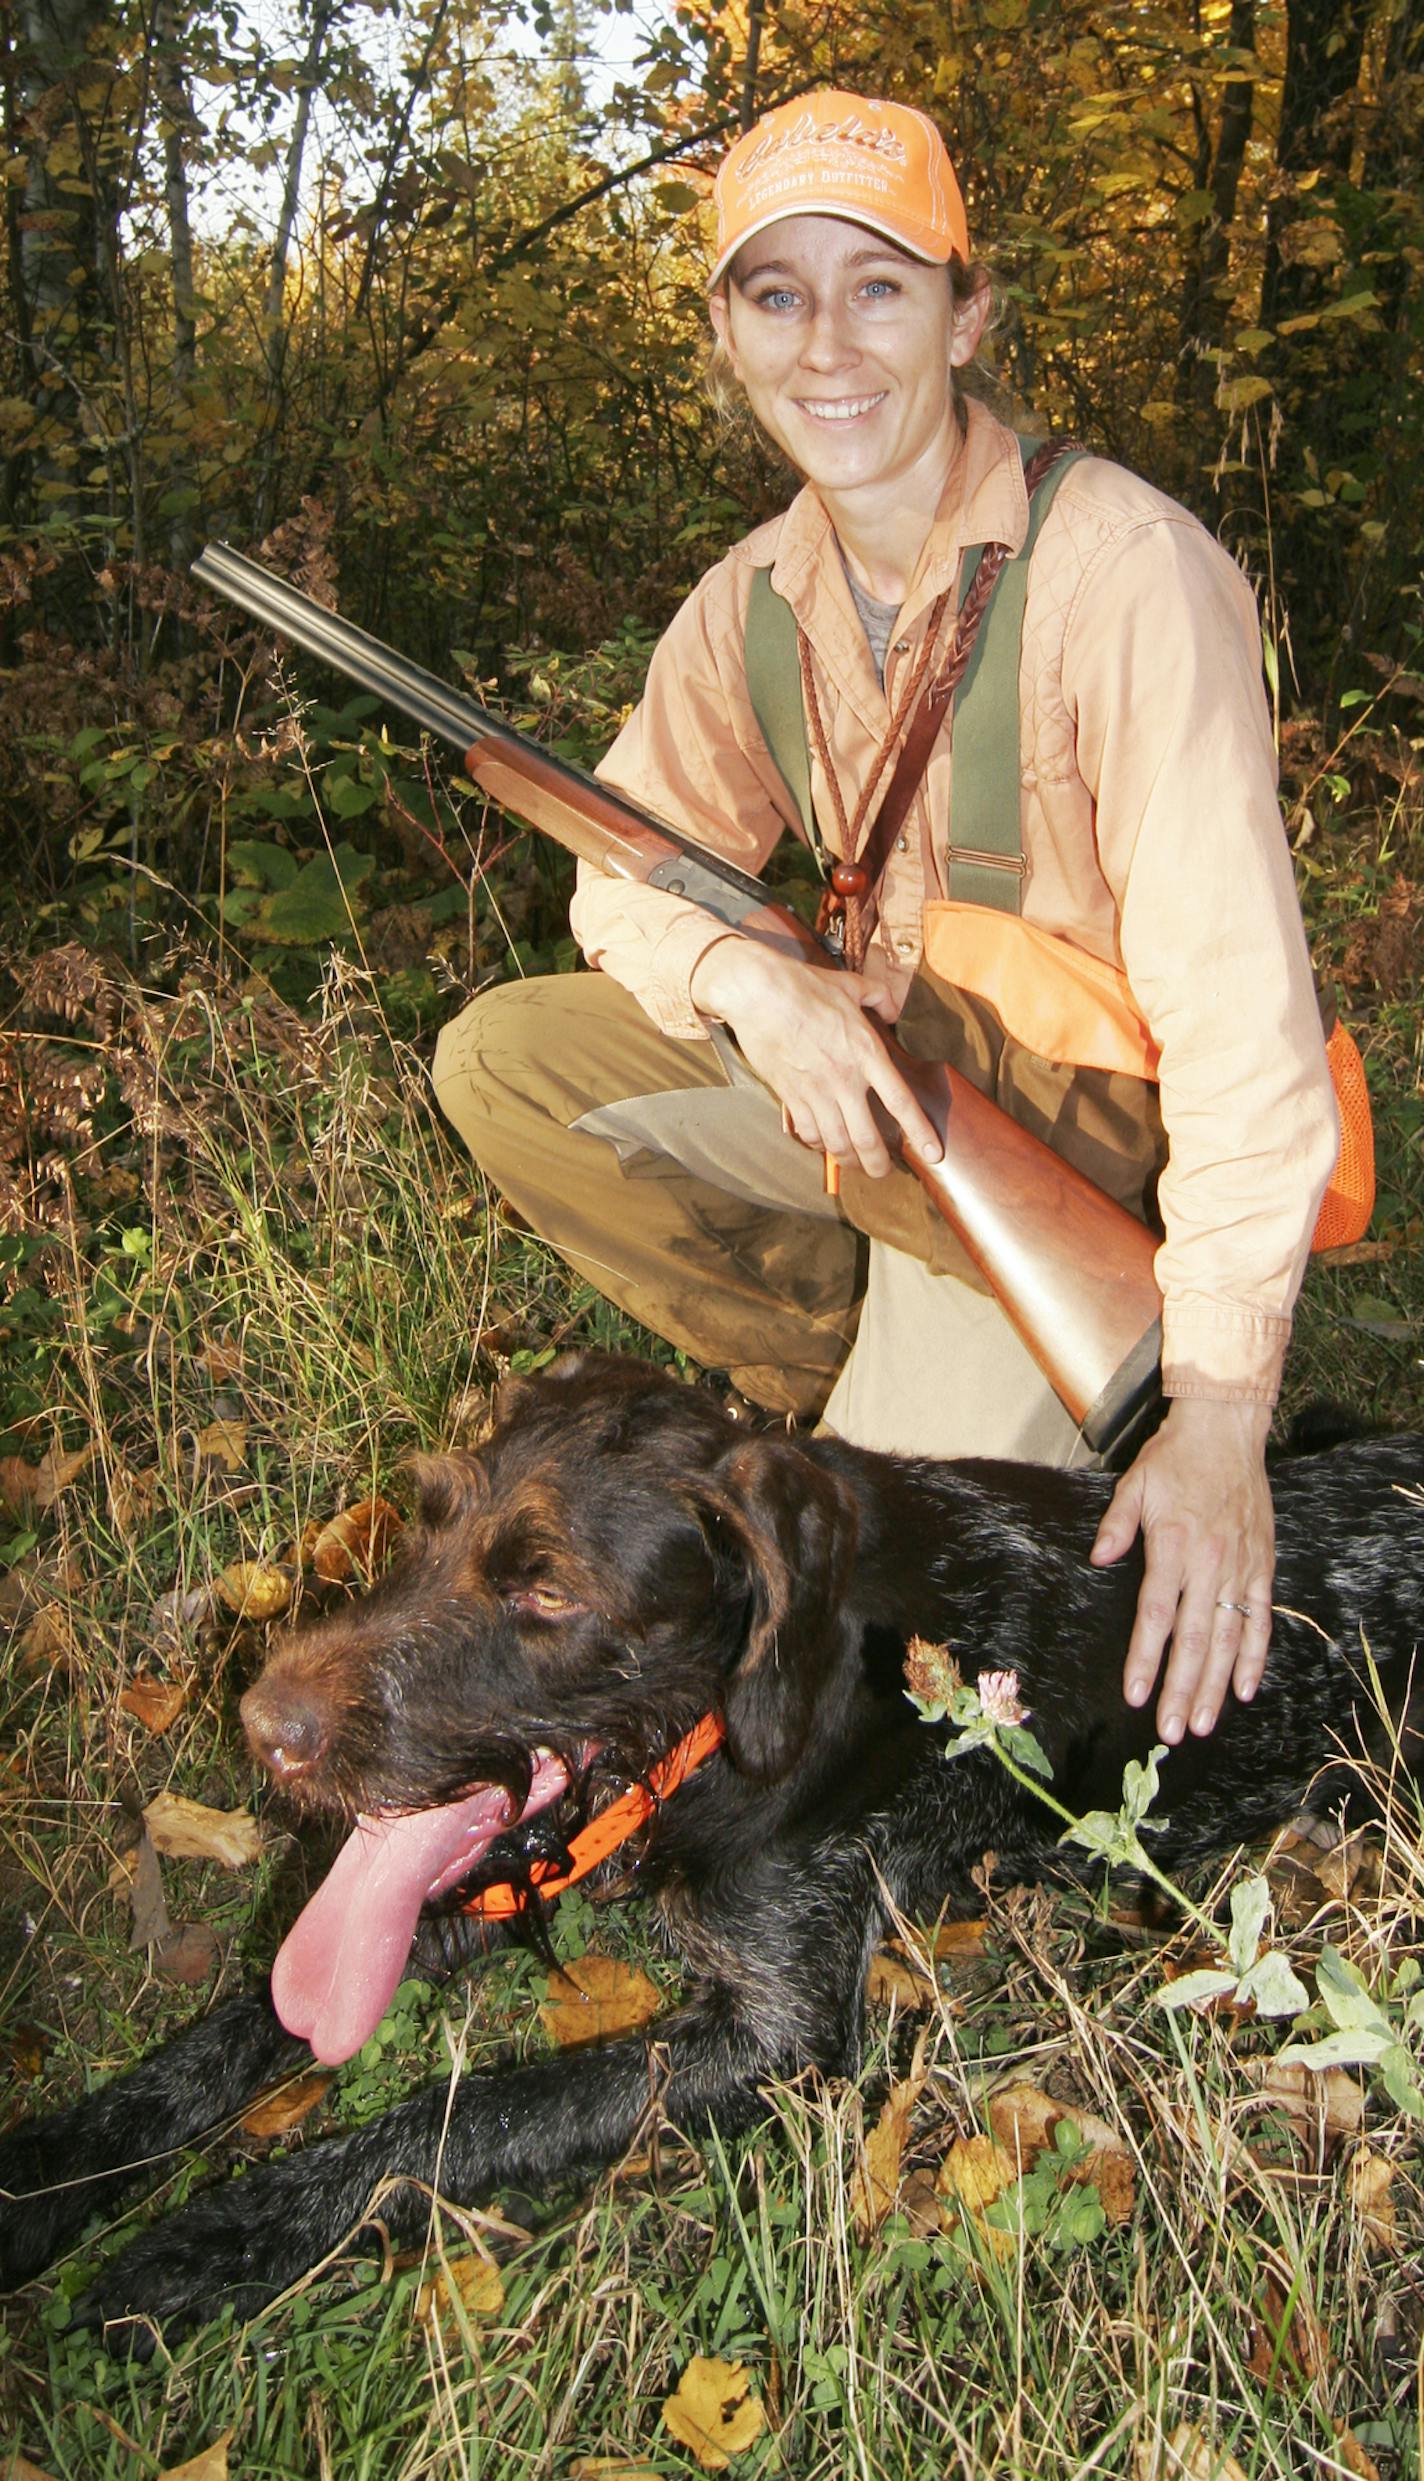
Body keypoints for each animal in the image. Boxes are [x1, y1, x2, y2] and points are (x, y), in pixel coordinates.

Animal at [0, 1359, 1419, 2342]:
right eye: (423, 1515)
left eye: (546, 1591)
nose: (260, 1725)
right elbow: (238, 2027)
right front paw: (51, 2171)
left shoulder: (775, 2033)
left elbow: (459, 2119)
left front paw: (232, 2229)